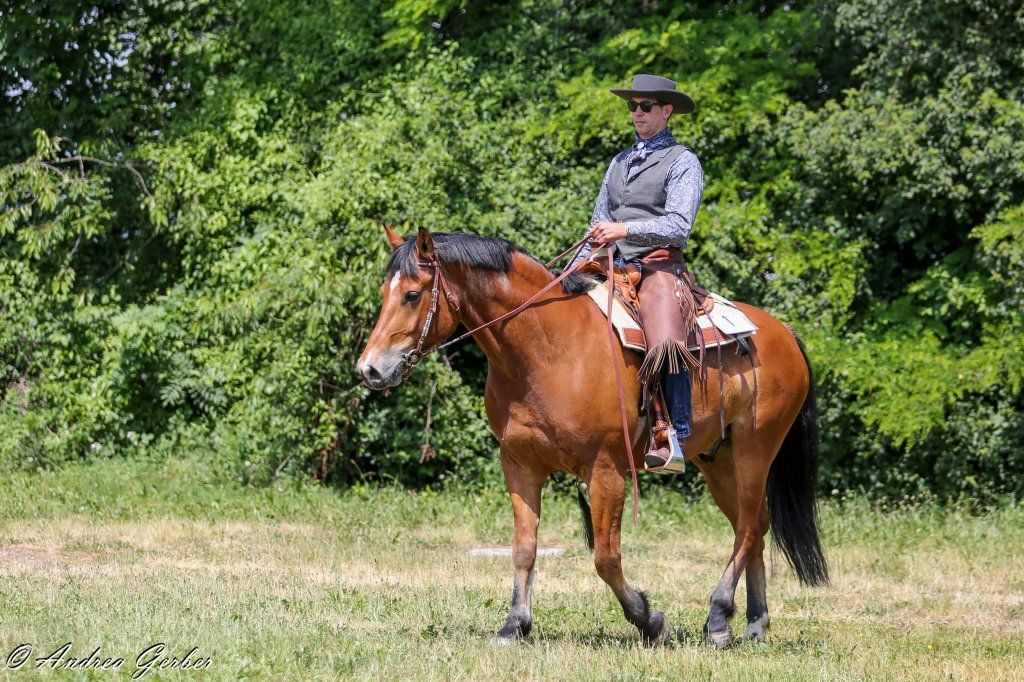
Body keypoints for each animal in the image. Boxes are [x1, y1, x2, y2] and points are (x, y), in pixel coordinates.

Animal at [356, 225, 828, 648]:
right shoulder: (520, 465)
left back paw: (716, 616)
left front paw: (650, 621)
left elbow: (605, 556)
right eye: (381, 292)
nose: (370, 369)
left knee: (748, 527)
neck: (547, 349)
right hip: (717, 460)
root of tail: (784, 334)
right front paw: (514, 626)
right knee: (754, 526)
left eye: (412, 294)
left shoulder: (605, 470)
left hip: (755, 450)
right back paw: (751, 624)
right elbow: (524, 548)